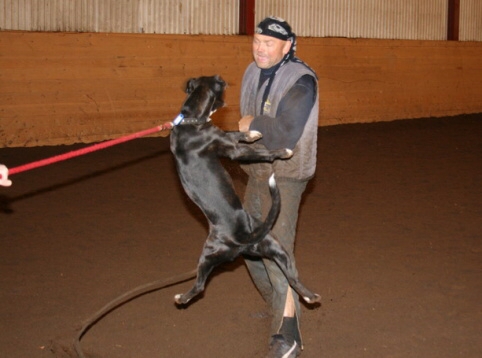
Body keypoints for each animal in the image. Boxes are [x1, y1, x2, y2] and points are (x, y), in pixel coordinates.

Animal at [169, 75, 320, 304]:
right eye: (216, 82)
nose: (220, 77)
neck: (190, 119)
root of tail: (242, 240)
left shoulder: (228, 139)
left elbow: (235, 133)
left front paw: (252, 132)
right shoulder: (234, 151)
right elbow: (261, 153)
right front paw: (281, 151)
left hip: (271, 249)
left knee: (293, 280)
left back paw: (310, 297)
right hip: (216, 254)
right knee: (198, 288)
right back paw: (181, 297)